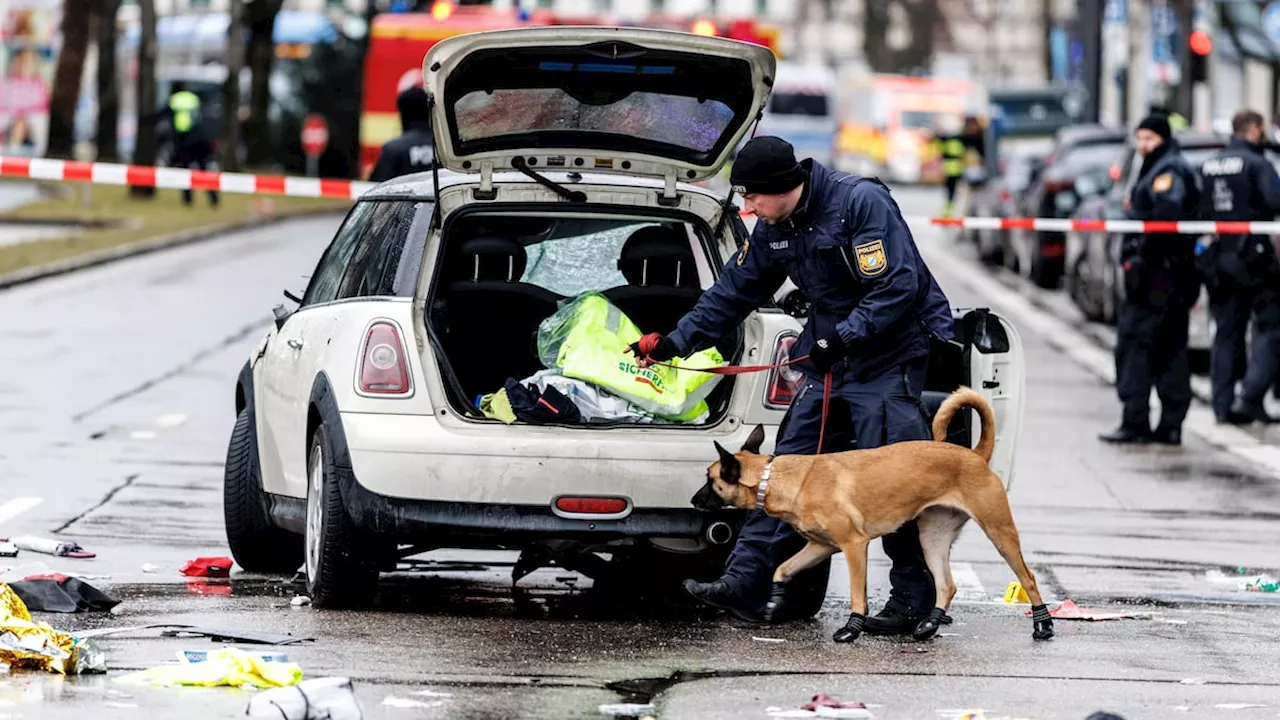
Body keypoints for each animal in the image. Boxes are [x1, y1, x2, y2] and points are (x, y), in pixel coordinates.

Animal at [696, 384, 1054, 640]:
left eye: (710, 480)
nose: (695, 500)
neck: (778, 478)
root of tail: (974, 455)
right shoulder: (820, 546)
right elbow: (782, 569)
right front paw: (774, 601)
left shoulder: (854, 546)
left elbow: (858, 594)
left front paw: (852, 628)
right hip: (932, 538)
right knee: (947, 585)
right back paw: (929, 625)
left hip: (999, 532)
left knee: (1029, 577)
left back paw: (1043, 624)